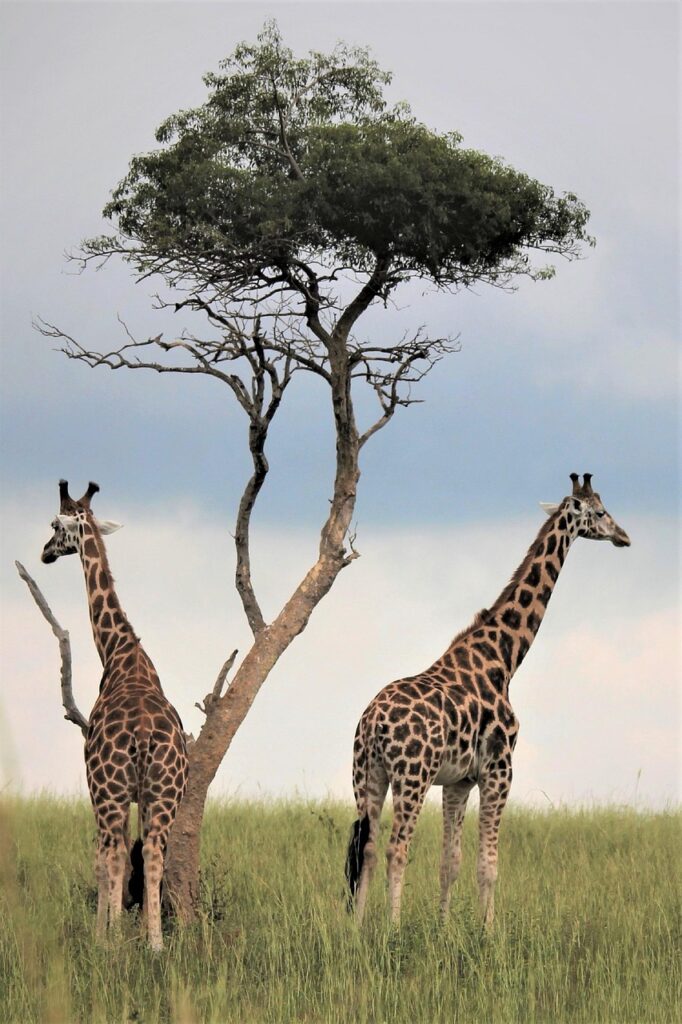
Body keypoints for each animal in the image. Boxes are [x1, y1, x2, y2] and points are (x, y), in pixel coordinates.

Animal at [41, 480, 189, 951]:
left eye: (56, 525)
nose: (45, 553)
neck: (120, 650)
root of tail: (142, 734)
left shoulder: (98, 789)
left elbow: (106, 858)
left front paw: (104, 934)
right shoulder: (141, 796)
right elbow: (134, 854)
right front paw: (134, 932)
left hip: (109, 791)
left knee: (112, 852)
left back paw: (113, 942)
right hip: (165, 792)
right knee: (154, 851)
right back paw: (155, 944)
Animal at [346, 473, 630, 928]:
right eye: (601, 512)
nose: (624, 536)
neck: (504, 658)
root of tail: (373, 723)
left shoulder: (458, 779)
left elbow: (450, 862)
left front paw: (444, 930)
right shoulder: (500, 769)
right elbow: (488, 864)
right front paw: (488, 931)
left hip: (367, 774)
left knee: (368, 848)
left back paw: (355, 930)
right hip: (411, 775)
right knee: (396, 848)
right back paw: (391, 929)